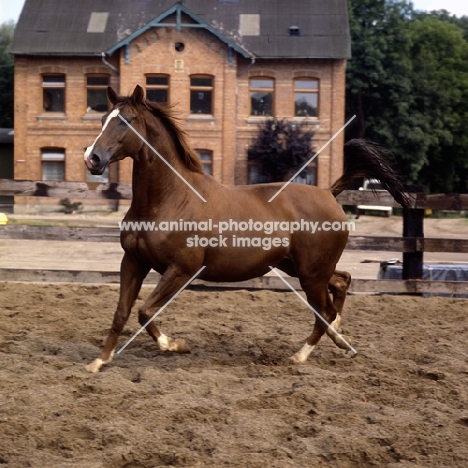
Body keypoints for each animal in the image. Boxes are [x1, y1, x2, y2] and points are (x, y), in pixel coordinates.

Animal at [84, 86, 410, 372]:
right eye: (103, 119)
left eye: (126, 120)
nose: (92, 158)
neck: (169, 200)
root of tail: (329, 193)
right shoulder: (133, 262)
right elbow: (122, 312)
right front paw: (98, 362)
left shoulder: (181, 269)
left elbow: (146, 312)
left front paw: (175, 345)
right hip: (300, 267)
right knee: (341, 283)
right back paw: (341, 338)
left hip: (311, 274)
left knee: (325, 311)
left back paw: (301, 356)